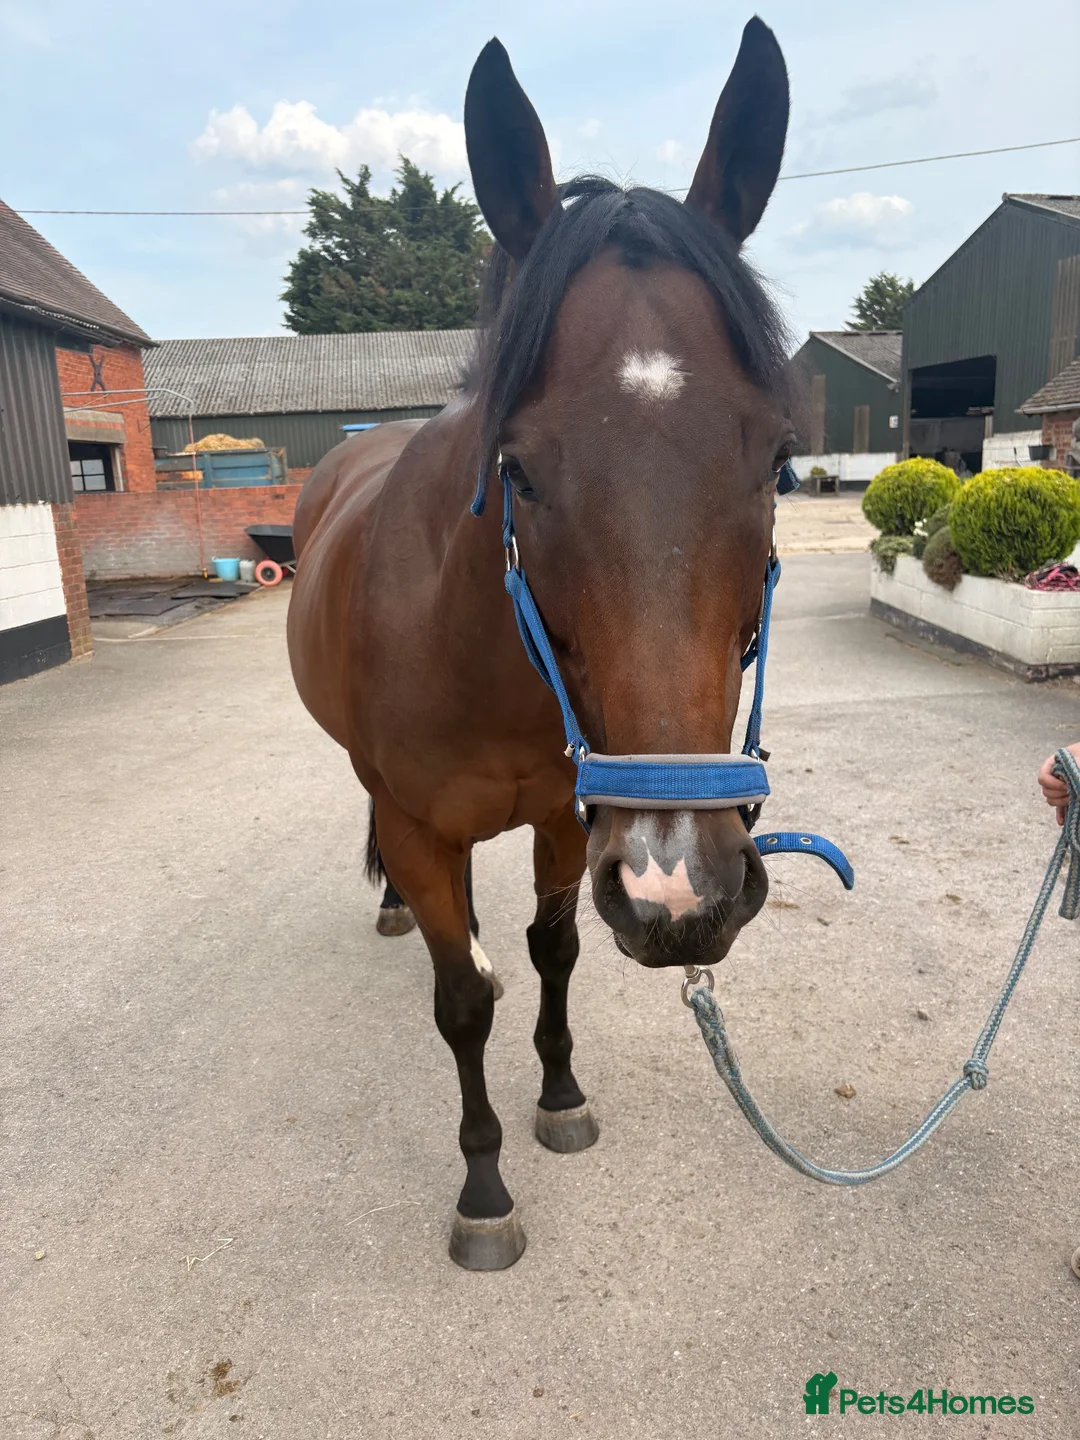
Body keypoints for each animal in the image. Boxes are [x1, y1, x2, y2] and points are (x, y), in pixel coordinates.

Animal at [287, 17, 795, 1270]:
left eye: (777, 457)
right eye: (516, 466)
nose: (682, 888)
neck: (488, 662)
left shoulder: (575, 821)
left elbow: (551, 953)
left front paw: (560, 1097)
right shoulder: (425, 826)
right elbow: (464, 1001)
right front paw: (483, 1189)